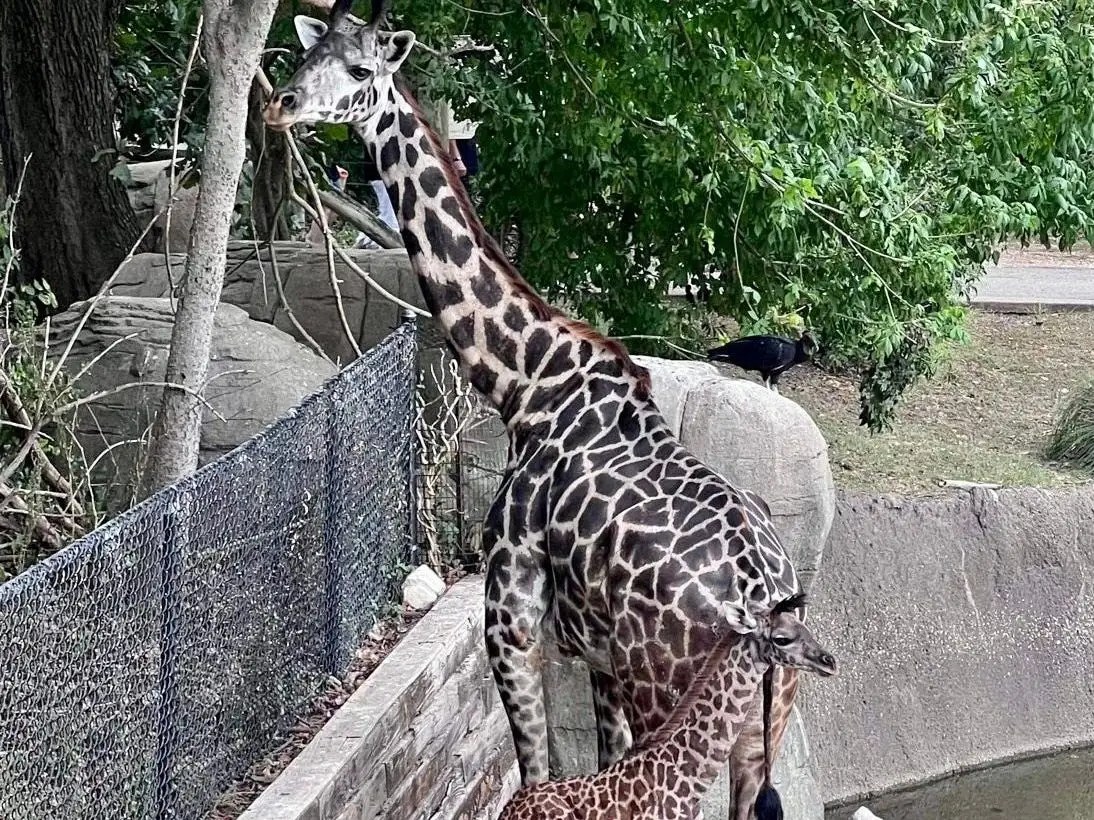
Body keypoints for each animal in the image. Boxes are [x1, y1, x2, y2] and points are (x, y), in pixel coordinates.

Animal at [264, 3, 804, 815]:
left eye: (360, 69)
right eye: (308, 54)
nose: (281, 104)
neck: (525, 382)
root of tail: (762, 599)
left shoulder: (511, 614)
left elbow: (536, 772)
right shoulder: (597, 655)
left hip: (668, 694)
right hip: (758, 732)